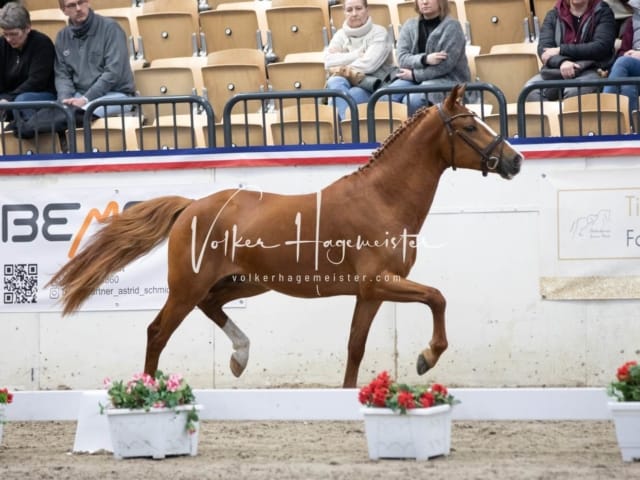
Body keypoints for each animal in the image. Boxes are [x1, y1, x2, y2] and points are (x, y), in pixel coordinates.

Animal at [48, 85, 520, 386]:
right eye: (470, 126)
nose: (514, 160)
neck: (381, 199)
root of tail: (191, 207)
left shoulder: (370, 294)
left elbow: (355, 347)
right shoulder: (379, 283)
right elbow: (437, 297)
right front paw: (426, 358)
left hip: (246, 282)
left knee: (211, 306)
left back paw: (239, 357)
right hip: (187, 287)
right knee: (157, 332)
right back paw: (150, 393)